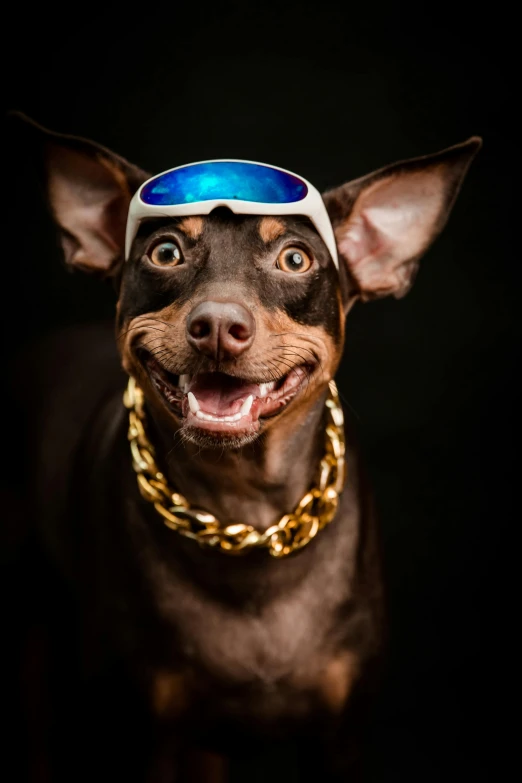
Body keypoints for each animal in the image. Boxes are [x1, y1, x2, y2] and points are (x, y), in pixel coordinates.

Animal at [14, 116, 480, 783]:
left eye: (295, 259)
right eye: (165, 252)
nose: (217, 326)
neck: (246, 505)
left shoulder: (339, 738)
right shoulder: (145, 739)